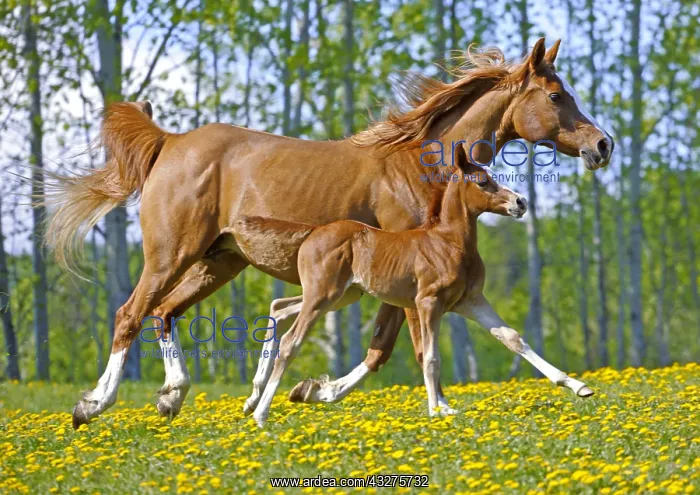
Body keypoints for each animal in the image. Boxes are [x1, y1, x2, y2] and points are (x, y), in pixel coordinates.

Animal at [235, 143, 593, 426]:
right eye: (483, 181)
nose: (520, 202)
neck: (448, 242)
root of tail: (312, 233)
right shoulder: (428, 302)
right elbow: (431, 356)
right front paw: (437, 410)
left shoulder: (470, 301)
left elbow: (512, 338)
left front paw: (577, 386)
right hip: (323, 296)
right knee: (291, 342)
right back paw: (261, 413)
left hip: (341, 295)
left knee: (280, 307)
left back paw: (256, 397)